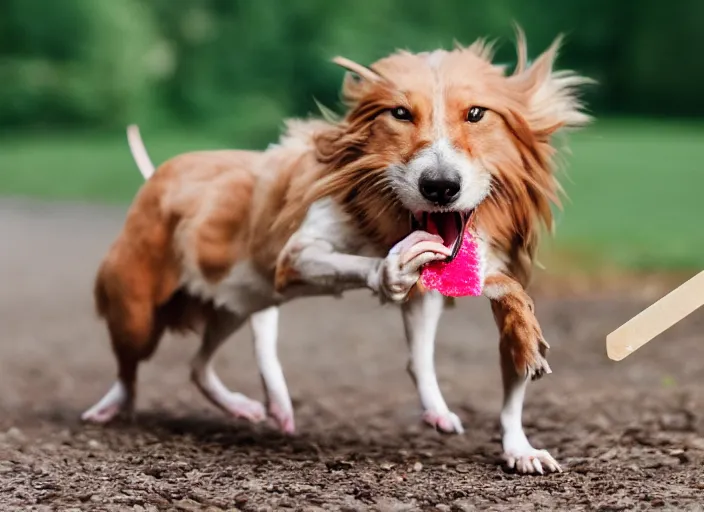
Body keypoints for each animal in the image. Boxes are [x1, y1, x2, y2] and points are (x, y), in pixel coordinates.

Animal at [82, 30, 588, 474]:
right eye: (400, 113)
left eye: (477, 113)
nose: (440, 186)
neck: (388, 217)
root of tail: (158, 174)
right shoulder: (297, 256)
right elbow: (366, 266)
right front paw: (392, 267)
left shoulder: (455, 274)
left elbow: (460, 338)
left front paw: (517, 438)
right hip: (138, 307)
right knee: (131, 366)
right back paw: (110, 408)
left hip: (236, 304)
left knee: (200, 364)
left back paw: (262, 407)